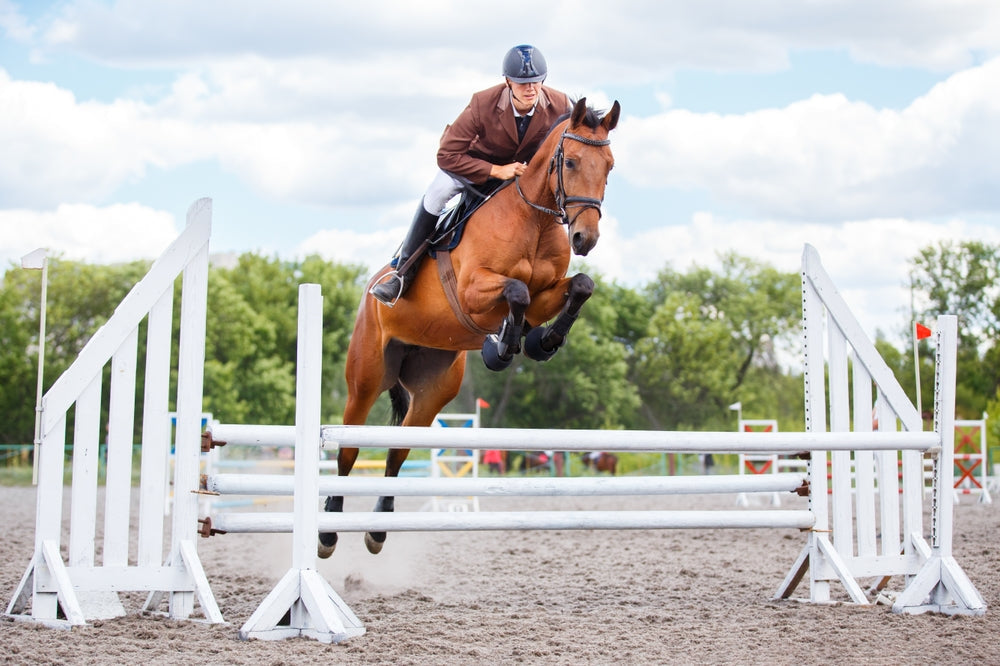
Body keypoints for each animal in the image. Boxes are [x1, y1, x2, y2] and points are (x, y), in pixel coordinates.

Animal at [319, 97, 620, 558]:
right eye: (569, 161)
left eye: (609, 166)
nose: (585, 238)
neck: (532, 219)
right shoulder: (472, 292)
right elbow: (516, 291)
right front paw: (506, 345)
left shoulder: (548, 293)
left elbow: (578, 287)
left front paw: (542, 340)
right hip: (366, 379)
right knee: (348, 449)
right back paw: (328, 530)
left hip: (431, 391)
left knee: (398, 450)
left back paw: (377, 529)